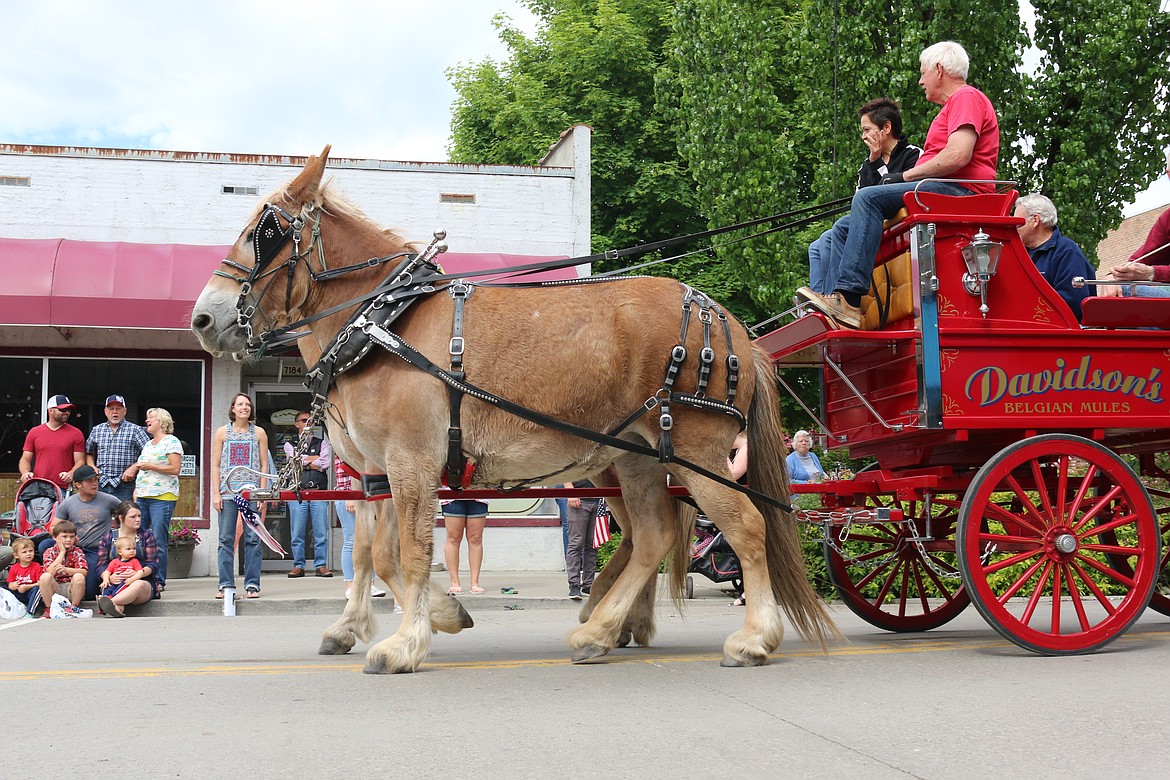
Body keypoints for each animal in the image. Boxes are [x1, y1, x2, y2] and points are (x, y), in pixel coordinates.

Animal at [189, 149, 833, 673]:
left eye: (264, 231)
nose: (203, 318)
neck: (379, 323)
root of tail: (733, 327)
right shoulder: (375, 471)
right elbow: (376, 554)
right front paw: (405, 621)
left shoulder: (411, 462)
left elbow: (409, 554)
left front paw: (406, 643)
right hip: (637, 456)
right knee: (652, 535)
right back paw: (603, 627)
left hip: (696, 449)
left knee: (743, 524)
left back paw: (751, 638)